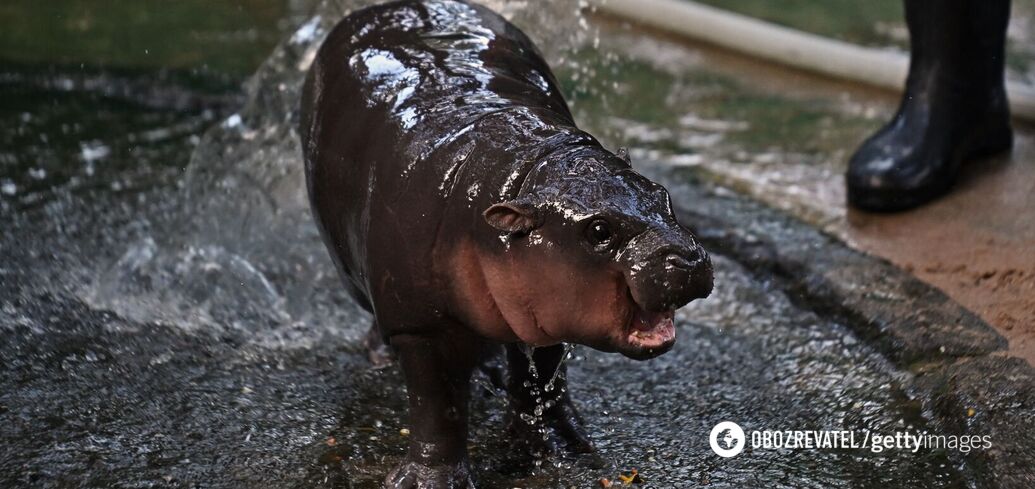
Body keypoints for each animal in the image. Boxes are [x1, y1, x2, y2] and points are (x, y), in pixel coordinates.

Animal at [300, 1, 712, 486]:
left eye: (662, 195)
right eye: (598, 231)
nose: (688, 258)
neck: (521, 172)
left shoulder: (550, 307)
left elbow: (544, 382)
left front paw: (563, 450)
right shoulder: (420, 325)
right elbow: (438, 406)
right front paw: (429, 481)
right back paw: (382, 357)